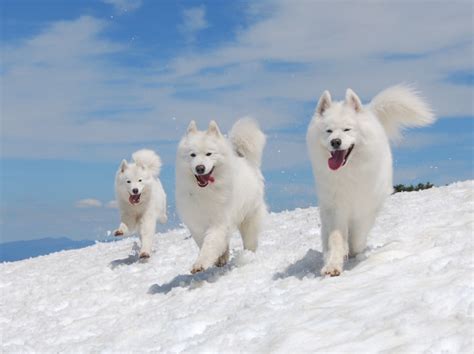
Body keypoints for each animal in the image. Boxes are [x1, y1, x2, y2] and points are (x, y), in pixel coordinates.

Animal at [177, 119, 268, 274]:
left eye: (209, 154)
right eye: (192, 155)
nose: (200, 168)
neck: (206, 191)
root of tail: (245, 159)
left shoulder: (218, 222)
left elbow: (210, 244)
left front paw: (200, 264)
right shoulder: (196, 223)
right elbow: (205, 242)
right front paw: (219, 257)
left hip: (249, 218)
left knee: (250, 241)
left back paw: (248, 256)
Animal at [306, 85, 436, 276]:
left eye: (347, 129)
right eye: (328, 131)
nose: (335, 142)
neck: (349, 172)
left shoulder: (364, 207)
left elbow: (357, 235)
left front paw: (353, 251)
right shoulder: (335, 206)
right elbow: (336, 238)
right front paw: (333, 265)